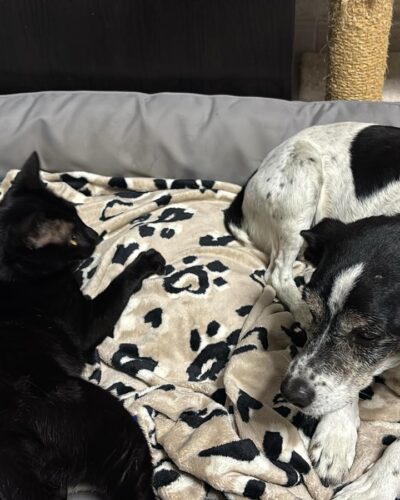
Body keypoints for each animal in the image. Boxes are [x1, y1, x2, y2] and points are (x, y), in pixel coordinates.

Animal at [0, 152, 165, 500]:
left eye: (78, 215)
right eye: (73, 238)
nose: (95, 235)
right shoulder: (85, 320)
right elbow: (117, 286)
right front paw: (145, 261)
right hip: (113, 425)